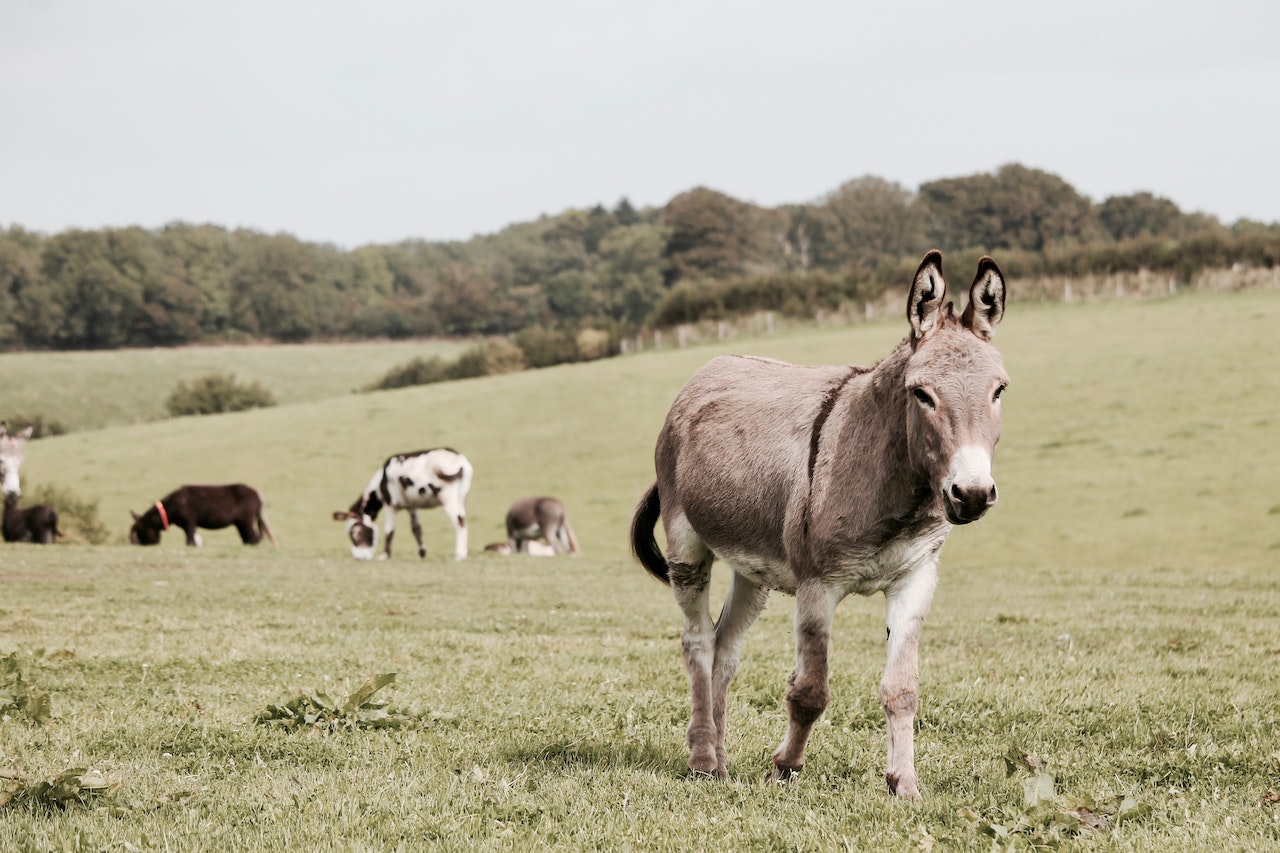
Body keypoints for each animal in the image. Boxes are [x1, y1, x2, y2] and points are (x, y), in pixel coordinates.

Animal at [332, 445, 473, 558]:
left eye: (354, 533)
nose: (359, 557)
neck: (381, 481)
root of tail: (458, 458)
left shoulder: (390, 505)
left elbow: (389, 531)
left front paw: (385, 555)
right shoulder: (412, 506)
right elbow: (416, 529)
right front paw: (422, 553)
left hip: (448, 497)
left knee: (460, 522)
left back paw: (459, 555)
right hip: (462, 497)